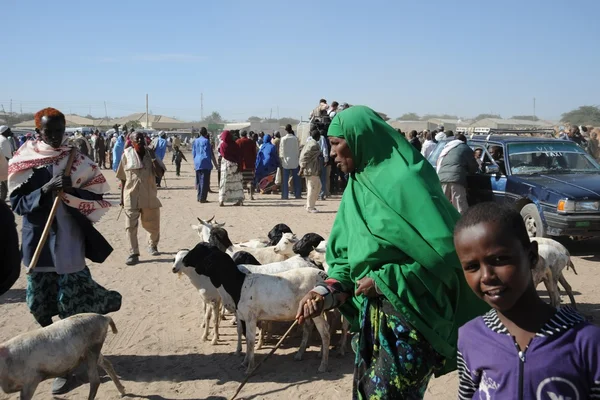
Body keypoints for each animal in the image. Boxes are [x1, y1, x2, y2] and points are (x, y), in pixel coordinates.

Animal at [184, 244, 332, 376]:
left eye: (209, 260)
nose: (197, 268)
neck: (239, 285)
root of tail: (323, 274)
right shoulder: (243, 316)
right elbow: (246, 337)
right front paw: (244, 362)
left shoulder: (251, 318)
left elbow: (250, 341)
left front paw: (250, 368)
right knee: (309, 328)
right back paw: (301, 354)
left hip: (316, 309)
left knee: (325, 333)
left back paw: (323, 365)